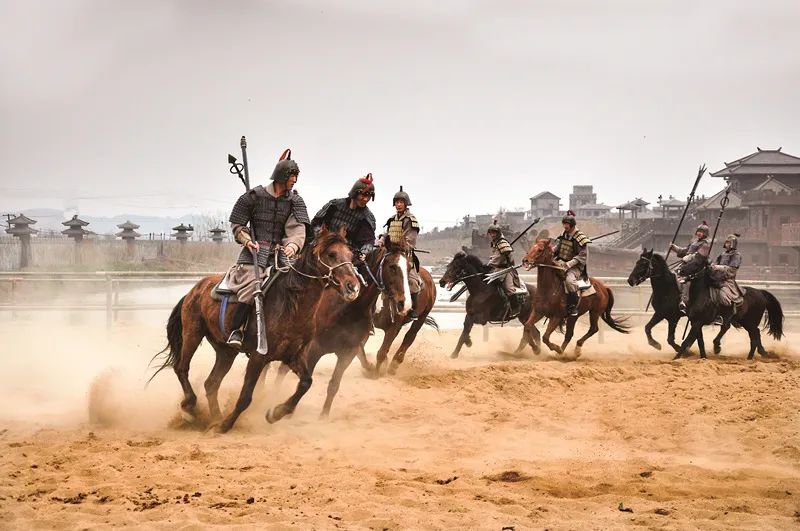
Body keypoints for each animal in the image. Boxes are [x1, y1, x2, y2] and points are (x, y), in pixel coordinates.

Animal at [151, 228, 362, 432]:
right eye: (331, 254)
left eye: (351, 255)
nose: (352, 287)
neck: (291, 304)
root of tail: (194, 290)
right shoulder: (258, 357)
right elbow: (245, 397)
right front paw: (226, 425)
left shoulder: (294, 355)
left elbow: (305, 383)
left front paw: (276, 413)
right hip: (192, 333)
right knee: (181, 368)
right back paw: (191, 408)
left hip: (225, 351)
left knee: (211, 383)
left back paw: (215, 417)